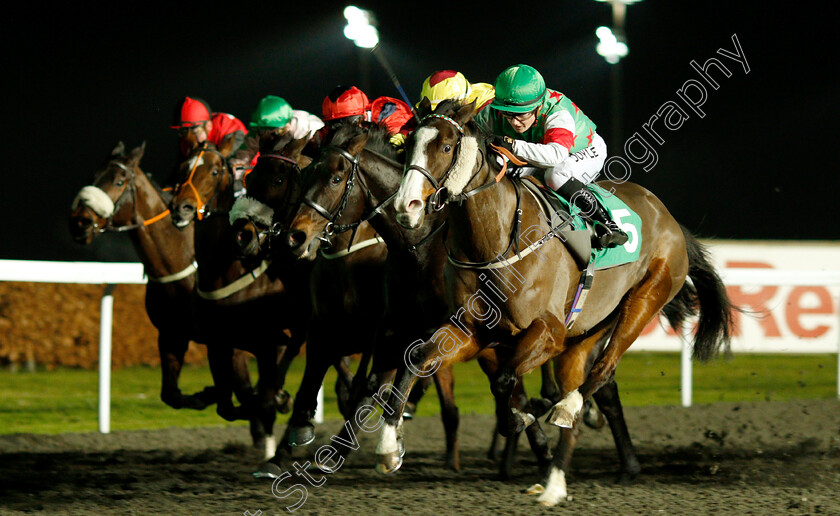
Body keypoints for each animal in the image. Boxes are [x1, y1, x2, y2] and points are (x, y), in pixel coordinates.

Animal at [170, 137, 312, 460]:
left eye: (214, 171)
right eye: (183, 167)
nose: (181, 208)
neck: (224, 271)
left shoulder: (266, 344)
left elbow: (261, 402)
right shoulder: (218, 343)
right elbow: (230, 406)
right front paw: (208, 394)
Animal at [382, 100, 736, 504]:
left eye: (444, 147)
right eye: (408, 144)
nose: (405, 206)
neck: (496, 240)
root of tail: (668, 217)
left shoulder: (547, 331)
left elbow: (505, 382)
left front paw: (527, 413)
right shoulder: (472, 331)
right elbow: (419, 359)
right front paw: (389, 444)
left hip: (644, 299)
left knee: (602, 372)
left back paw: (567, 412)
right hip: (582, 335)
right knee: (585, 384)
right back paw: (554, 481)